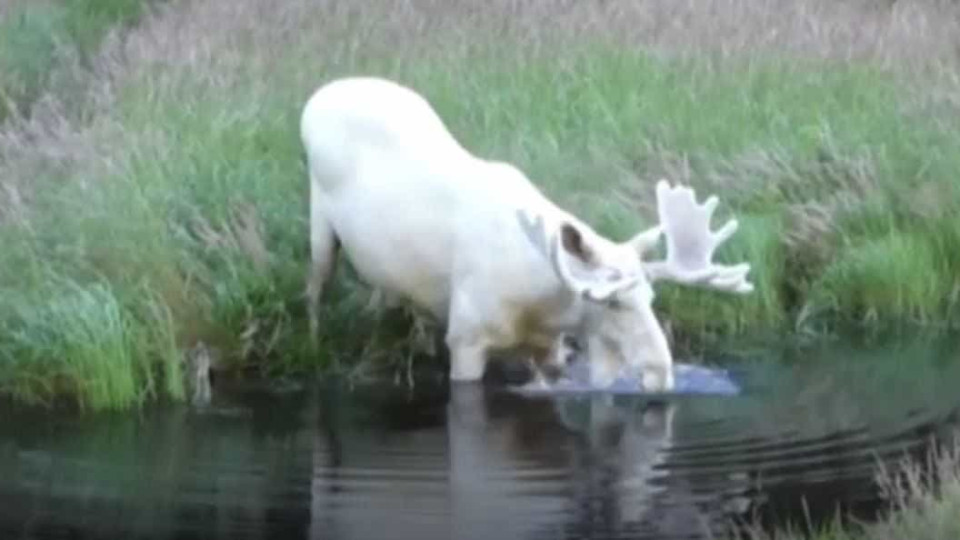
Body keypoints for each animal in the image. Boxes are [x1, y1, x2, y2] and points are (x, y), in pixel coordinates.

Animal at [304, 76, 752, 390]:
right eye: (613, 303)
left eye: (650, 298)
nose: (661, 372)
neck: (541, 305)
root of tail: (316, 98)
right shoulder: (466, 337)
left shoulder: (549, 348)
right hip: (319, 226)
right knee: (315, 289)